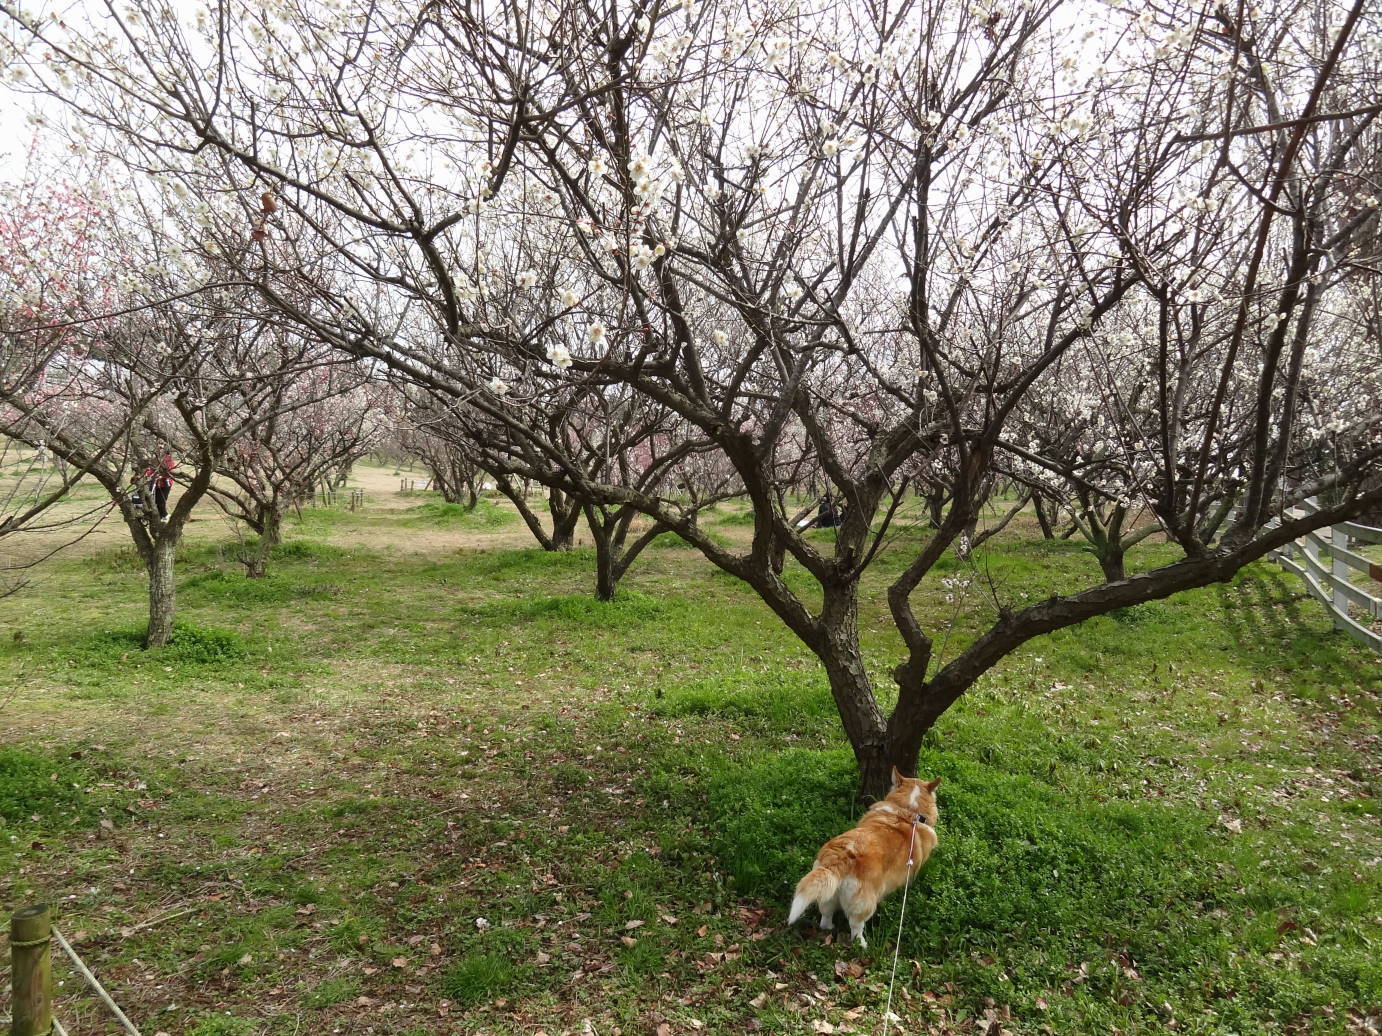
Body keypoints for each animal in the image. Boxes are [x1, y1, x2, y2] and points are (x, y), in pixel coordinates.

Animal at [790, 773, 939, 950]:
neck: (908, 810)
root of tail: (842, 857)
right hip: (864, 905)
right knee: (856, 927)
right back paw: (862, 944)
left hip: (828, 894)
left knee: (825, 917)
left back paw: (830, 928)